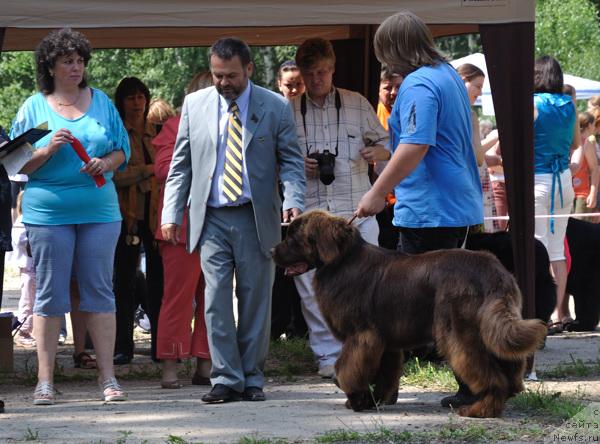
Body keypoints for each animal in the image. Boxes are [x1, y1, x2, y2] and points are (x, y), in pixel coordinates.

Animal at [272, 210, 548, 418]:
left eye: (293, 238)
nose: (272, 251)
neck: (340, 260)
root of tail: (493, 271)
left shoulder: (361, 336)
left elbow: (348, 369)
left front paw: (356, 399)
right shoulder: (384, 340)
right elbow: (384, 373)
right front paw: (374, 400)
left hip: (458, 333)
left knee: (490, 375)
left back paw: (479, 410)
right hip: (490, 326)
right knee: (509, 368)